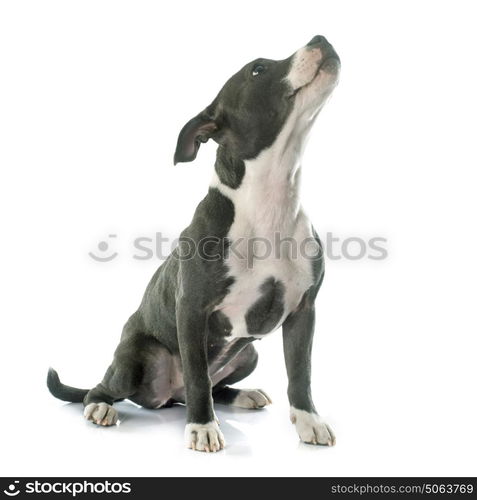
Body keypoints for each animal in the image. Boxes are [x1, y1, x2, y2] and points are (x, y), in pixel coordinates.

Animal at [47, 33, 338, 452]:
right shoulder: (192, 311)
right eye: (258, 69)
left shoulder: (303, 310)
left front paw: (309, 422)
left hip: (248, 354)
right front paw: (202, 427)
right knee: (107, 387)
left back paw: (242, 395)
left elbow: (301, 372)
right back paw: (101, 408)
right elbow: (199, 377)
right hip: (135, 357)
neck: (269, 200)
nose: (320, 38)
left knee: (214, 386)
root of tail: (166, 395)